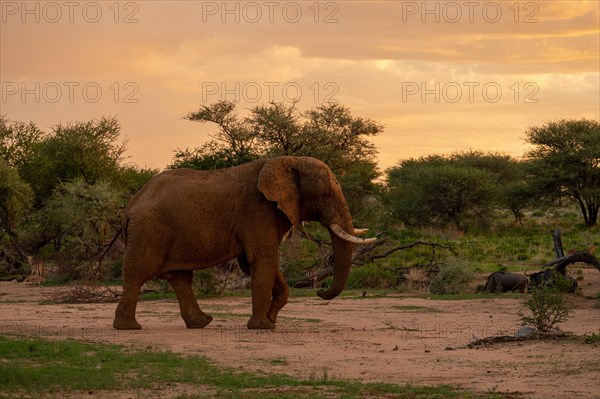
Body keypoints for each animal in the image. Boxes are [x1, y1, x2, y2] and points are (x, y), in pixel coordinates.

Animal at [112, 156, 372, 332]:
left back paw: (202, 323)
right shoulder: (259, 211)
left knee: (180, 277)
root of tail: (129, 207)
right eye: (325, 195)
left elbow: (255, 264)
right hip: (148, 231)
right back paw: (128, 327)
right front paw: (263, 326)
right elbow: (263, 260)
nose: (319, 290)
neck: (286, 162)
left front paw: (271, 320)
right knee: (138, 273)